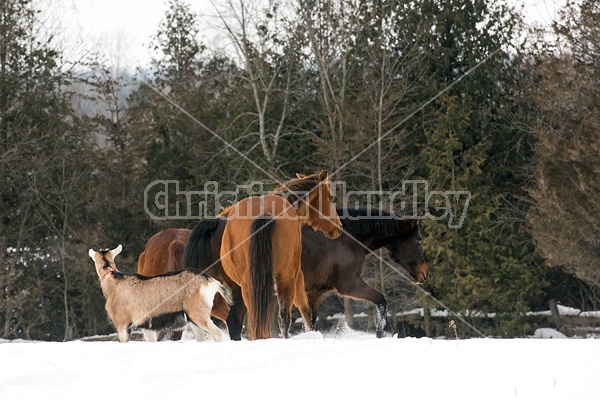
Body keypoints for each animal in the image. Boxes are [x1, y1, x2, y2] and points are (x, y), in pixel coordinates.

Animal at [185, 208, 428, 340]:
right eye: (418, 240)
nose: (424, 274)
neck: (346, 236)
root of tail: (217, 223)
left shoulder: (314, 294)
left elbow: (311, 321)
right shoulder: (350, 285)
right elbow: (381, 300)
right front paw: (380, 333)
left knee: (232, 322)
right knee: (235, 321)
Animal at [218, 170, 342, 340]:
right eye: (331, 197)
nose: (339, 228)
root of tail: (264, 214)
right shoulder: (297, 276)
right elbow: (305, 310)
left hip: (247, 284)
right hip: (286, 278)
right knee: (284, 318)